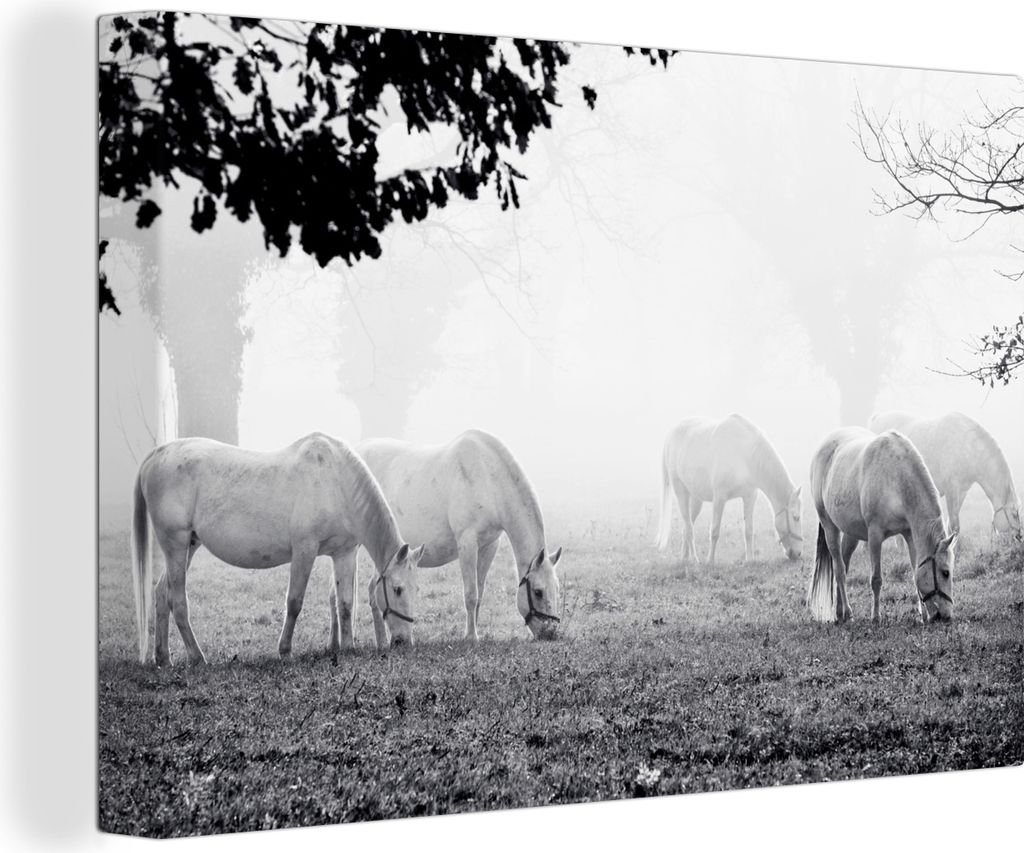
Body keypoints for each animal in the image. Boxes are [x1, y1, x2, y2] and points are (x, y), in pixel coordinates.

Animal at [130, 432, 424, 666]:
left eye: (416, 590)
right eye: (397, 589)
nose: (403, 642)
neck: (336, 482)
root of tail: (157, 454)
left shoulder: (344, 553)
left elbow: (345, 603)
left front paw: (348, 647)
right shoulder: (304, 550)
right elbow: (294, 602)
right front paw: (285, 651)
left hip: (187, 546)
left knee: (161, 593)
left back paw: (163, 658)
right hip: (176, 545)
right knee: (177, 601)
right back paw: (196, 657)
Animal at [353, 429, 563, 641]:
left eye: (557, 588)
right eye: (538, 592)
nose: (550, 633)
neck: (488, 477)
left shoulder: (489, 546)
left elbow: (479, 593)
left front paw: (473, 631)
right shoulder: (467, 543)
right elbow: (471, 594)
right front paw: (471, 637)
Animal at [656, 414, 803, 565]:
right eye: (796, 517)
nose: (797, 554)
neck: (745, 454)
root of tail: (670, 435)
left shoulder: (750, 496)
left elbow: (749, 531)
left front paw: (750, 560)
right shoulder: (719, 498)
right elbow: (714, 531)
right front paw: (710, 561)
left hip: (696, 499)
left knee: (686, 528)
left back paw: (685, 558)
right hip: (681, 493)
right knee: (689, 528)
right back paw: (695, 560)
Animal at [807, 427, 957, 624]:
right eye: (945, 572)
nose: (946, 616)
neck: (896, 480)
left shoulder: (909, 534)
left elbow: (915, 572)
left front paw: (923, 616)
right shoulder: (875, 536)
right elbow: (876, 579)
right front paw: (876, 616)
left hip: (851, 533)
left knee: (844, 564)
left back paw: (841, 612)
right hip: (829, 525)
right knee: (839, 570)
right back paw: (846, 612)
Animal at [868, 411, 1021, 536]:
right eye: (1014, 514)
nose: (1018, 538)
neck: (967, 446)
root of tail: (876, 418)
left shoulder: (961, 492)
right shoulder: (952, 490)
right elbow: (954, 527)